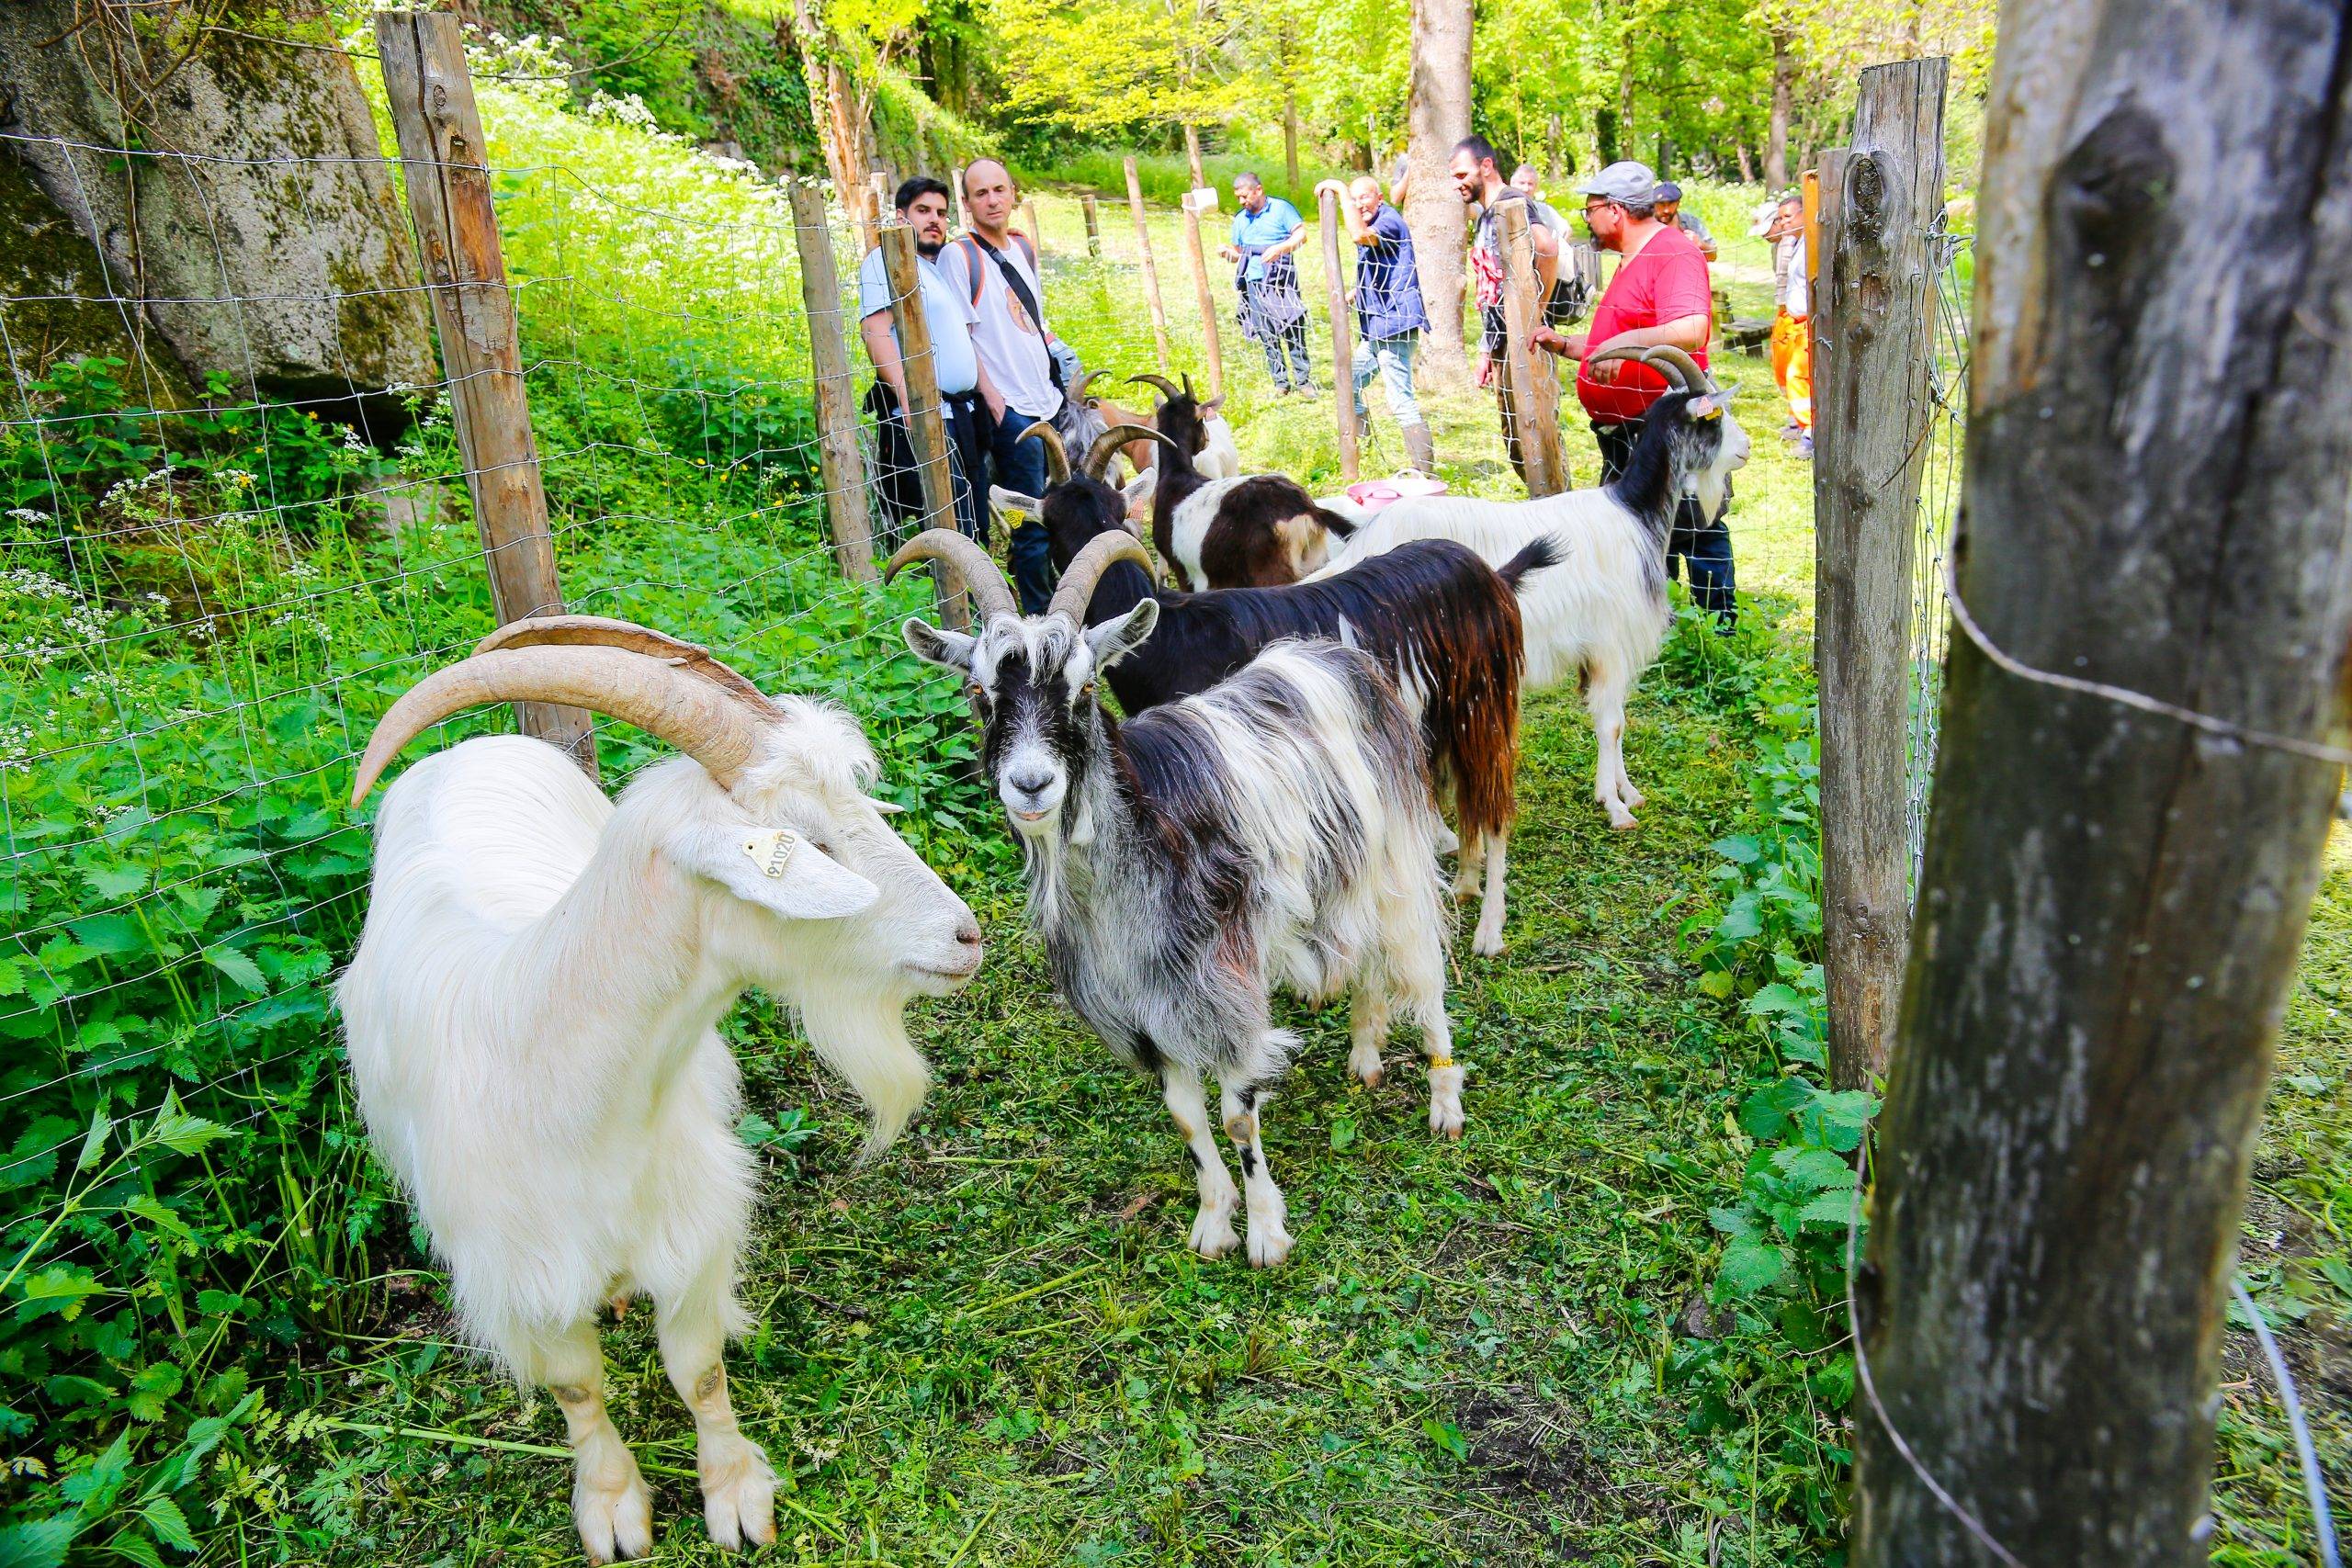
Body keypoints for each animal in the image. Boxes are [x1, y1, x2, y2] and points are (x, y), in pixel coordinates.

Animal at [335, 617, 982, 1563]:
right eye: (809, 841)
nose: (966, 936)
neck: (560, 1083)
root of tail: (472, 748)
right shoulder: (520, 1273)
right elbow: (577, 1389)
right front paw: (610, 1505)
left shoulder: (692, 1225)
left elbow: (698, 1368)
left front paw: (737, 1492)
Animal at [890, 528, 1461, 1268]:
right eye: (980, 690)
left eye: (1084, 687)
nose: (1031, 783)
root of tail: (1340, 655)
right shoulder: (1139, 1004)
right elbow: (1186, 1118)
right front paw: (1214, 1222)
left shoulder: (1224, 984)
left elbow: (1238, 1116)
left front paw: (1266, 1234)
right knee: (1359, 951)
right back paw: (1365, 1055)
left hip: (1396, 854)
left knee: (1420, 963)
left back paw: (1445, 1100)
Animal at [993, 421, 1548, 956]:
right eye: (1053, 518)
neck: (1170, 635)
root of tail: (1491, 575)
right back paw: (1465, 887)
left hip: (1487, 700)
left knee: (1496, 804)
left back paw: (1489, 930)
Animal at [1127, 373, 1352, 590]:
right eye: (1202, 421)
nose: (1207, 439)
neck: (1177, 474)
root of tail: (1306, 510)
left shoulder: (1183, 571)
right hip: (1316, 561)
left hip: (1270, 573)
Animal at [1281, 345, 1751, 831]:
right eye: (1714, 417)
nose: (1745, 449)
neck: (1633, 513)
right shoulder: (1608, 644)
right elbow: (1612, 724)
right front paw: (1614, 805)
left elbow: (1617, 721)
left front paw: (1629, 792)